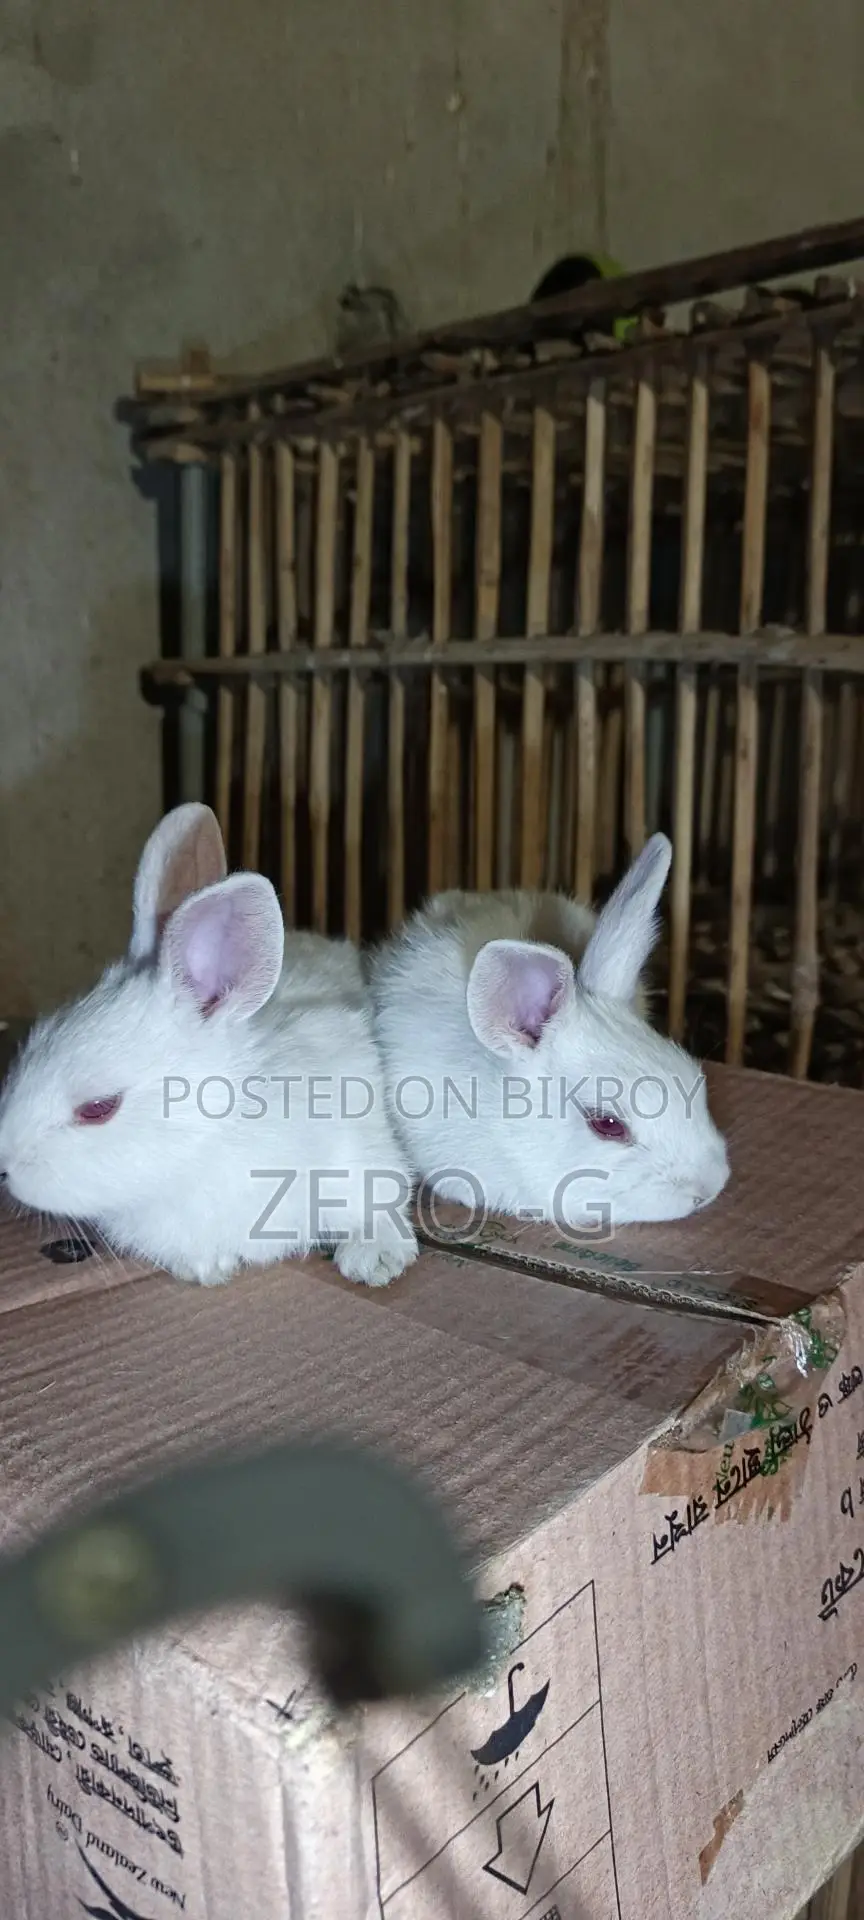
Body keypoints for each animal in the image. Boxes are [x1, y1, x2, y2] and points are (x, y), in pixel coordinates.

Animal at [0, 804, 417, 1289]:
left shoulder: (359, 1159)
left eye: (98, 1108)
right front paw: (206, 1269)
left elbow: (381, 1204)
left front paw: (375, 1261)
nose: (4, 1167)